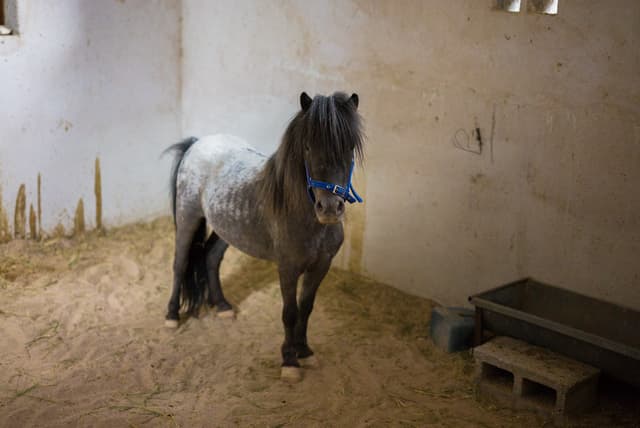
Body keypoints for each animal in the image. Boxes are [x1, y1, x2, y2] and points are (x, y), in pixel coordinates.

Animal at [163, 91, 364, 381]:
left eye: (348, 147)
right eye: (307, 147)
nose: (329, 208)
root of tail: (198, 142)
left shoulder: (320, 267)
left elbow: (306, 308)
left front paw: (305, 351)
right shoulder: (288, 268)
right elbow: (290, 312)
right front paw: (289, 361)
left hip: (228, 228)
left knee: (211, 257)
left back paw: (222, 306)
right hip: (188, 217)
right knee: (179, 264)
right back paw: (171, 316)